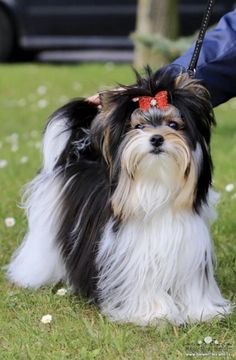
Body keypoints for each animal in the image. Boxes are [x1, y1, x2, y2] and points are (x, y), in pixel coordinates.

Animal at [7, 66, 230, 324]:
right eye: (138, 127)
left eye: (174, 125)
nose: (157, 138)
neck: (156, 185)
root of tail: (73, 158)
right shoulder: (132, 256)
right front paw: (157, 314)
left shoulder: (190, 251)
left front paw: (202, 311)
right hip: (46, 233)